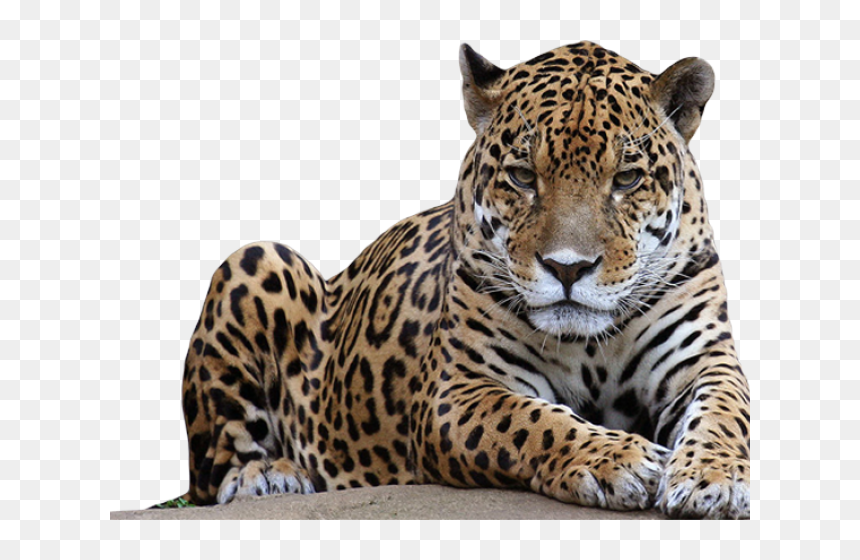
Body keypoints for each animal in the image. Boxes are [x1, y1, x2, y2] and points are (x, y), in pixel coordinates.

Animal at [172, 42, 750, 519]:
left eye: (627, 178)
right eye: (522, 176)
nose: (567, 268)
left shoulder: (703, 360)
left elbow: (725, 413)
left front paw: (713, 478)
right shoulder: (459, 390)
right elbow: (535, 422)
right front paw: (619, 459)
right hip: (254, 260)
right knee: (213, 471)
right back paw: (269, 475)